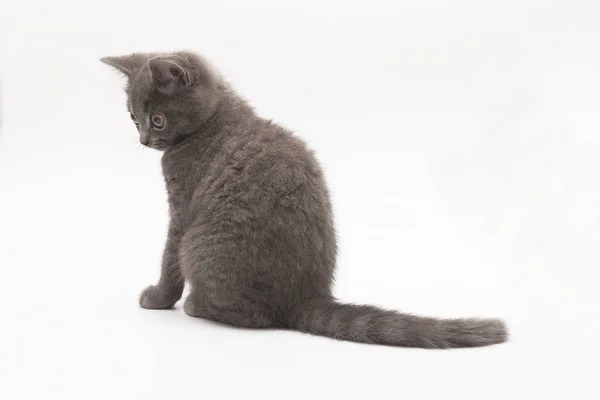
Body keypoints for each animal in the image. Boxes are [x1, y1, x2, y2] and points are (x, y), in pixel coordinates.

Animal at [102, 51, 506, 348]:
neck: (215, 119)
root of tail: (304, 298)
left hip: (200, 244)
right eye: (133, 118)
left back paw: (196, 305)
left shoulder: (182, 207)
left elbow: (169, 257)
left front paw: (158, 297)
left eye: (157, 119)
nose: (143, 140)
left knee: (256, 317)